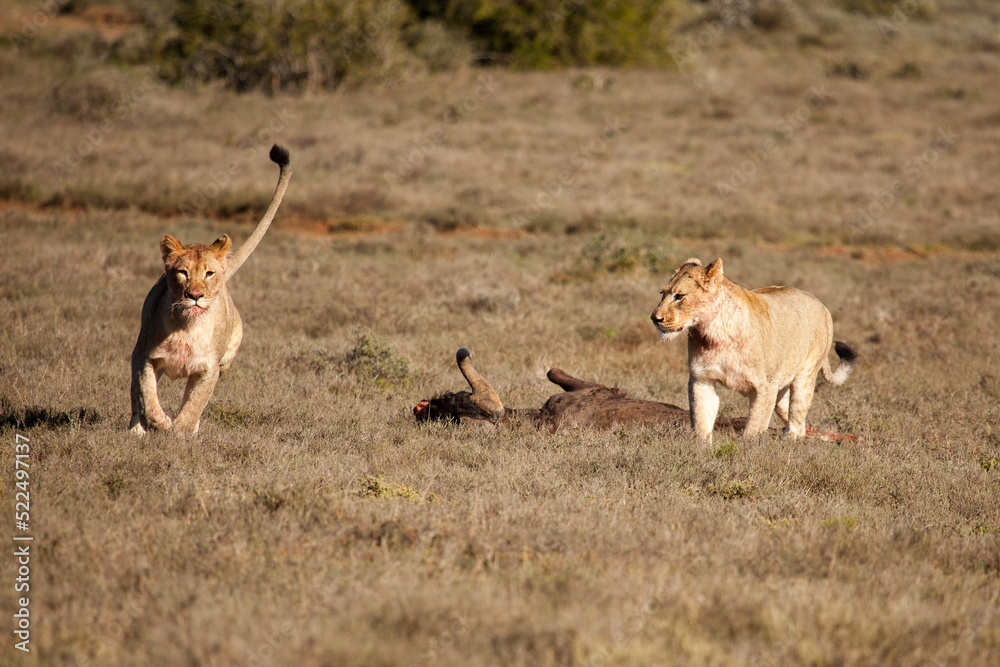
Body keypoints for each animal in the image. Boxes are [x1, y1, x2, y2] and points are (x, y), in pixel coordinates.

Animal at [128, 144, 292, 435]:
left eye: (209, 273)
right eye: (183, 272)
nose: (195, 296)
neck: (187, 327)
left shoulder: (208, 369)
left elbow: (195, 404)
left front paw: (181, 430)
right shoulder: (143, 355)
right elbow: (146, 392)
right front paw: (159, 421)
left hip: (226, 359)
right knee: (137, 397)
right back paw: (137, 429)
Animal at [650, 257, 856, 445]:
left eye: (679, 296)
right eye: (662, 293)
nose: (654, 318)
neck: (714, 334)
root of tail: (820, 303)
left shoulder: (765, 386)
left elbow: (754, 428)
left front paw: (745, 451)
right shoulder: (702, 379)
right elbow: (702, 420)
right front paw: (701, 450)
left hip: (805, 374)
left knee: (797, 416)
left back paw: (791, 439)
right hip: (781, 387)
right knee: (791, 415)